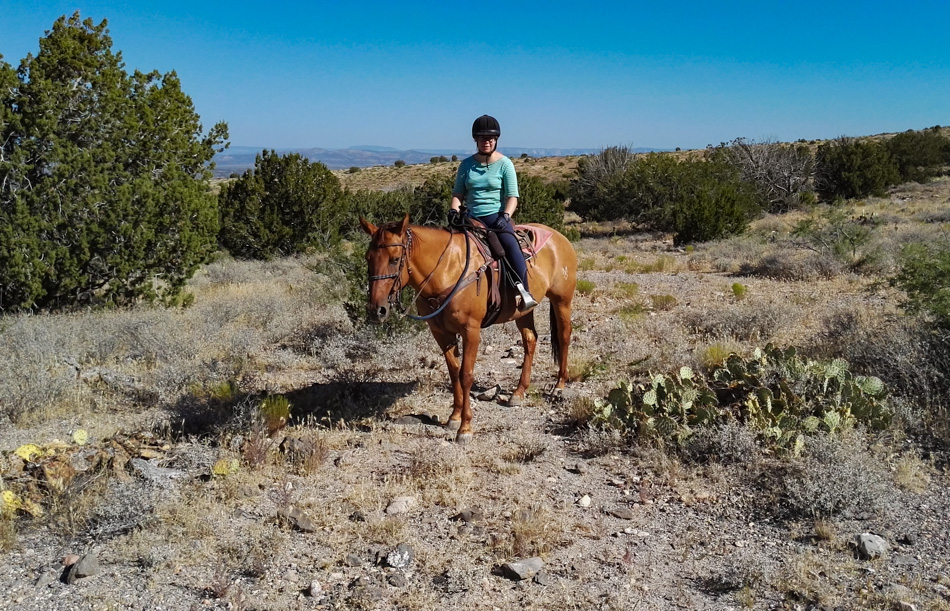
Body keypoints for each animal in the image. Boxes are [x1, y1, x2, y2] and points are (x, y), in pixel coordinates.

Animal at [358, 213, 576, 442]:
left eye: (394, 259)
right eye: (368, 258)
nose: (376, 310)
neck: (447, 270)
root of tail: (559, 237)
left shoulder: (471, 331)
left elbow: (466, 375)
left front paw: (465, 428)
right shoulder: (441, 333)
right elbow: (454, 372)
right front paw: (454, 417)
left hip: (562, 300)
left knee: (564, 335)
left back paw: (559, 386)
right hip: (523, 312)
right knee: (530, 340)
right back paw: (518, 393)